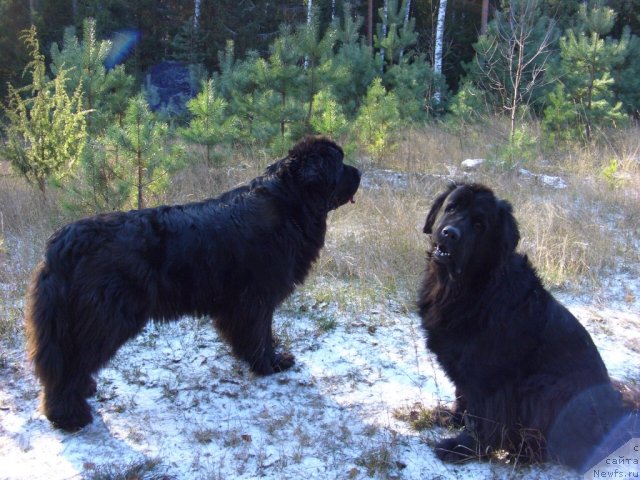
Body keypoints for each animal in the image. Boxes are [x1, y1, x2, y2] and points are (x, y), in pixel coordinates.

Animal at [26, 135, 360, 432]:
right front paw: (270, 363)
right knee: (70, 366)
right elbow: (260, 333)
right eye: (339, 162)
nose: (359, 173)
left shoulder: (239, 304)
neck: (290, 201)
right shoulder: (257, 297)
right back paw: (69, 416)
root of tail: (63, 244)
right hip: (106, 317)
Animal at [418, 182, 636, 470]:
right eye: (451, 207)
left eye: (479, 224)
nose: (450, 233)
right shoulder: (466, 370)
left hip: (543, 386)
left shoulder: (491, 378)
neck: (469, 287)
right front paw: (451, 418)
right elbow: (463, 398)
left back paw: (521, 455)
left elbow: (484, 419)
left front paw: (463, 447)